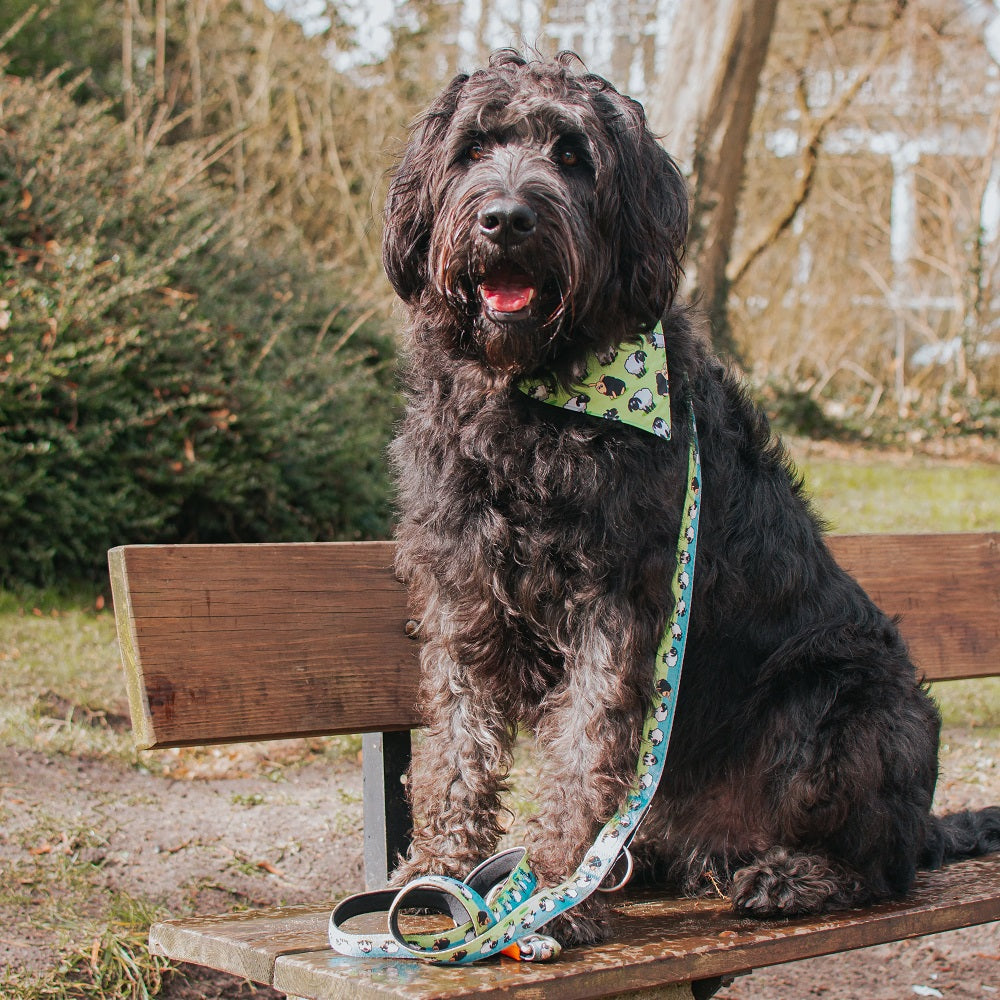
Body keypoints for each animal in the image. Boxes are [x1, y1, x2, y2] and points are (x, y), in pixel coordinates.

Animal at [382, 52, 1000, 944]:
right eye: (474, 148)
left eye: (572, 155)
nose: (505, 219)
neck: (534, 394)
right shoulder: (462, 592)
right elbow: (456, 747)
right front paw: (437, 875)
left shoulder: (617, 609)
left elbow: (584, 753)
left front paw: (549, 895)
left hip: (847, 706)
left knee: (883, 865)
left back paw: (793, 876)